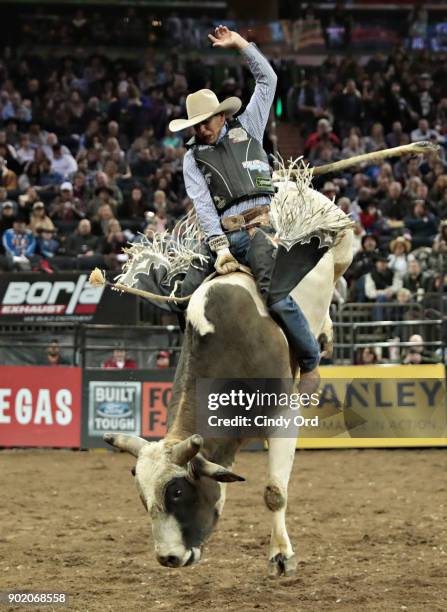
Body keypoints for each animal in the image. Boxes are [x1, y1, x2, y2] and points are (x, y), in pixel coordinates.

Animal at [93, 142, 438, 572]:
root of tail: (286, 182)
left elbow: (274, 492)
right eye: (143, 497)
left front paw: (281, 555)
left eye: (177, 491)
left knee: (336, 275)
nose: (169, 557)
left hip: (342, 245)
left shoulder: (283, 416)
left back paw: (322, 339)